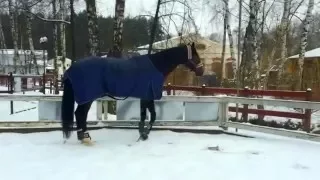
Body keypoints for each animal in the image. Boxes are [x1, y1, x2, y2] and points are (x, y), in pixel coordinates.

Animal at [61, 42, 204, 145]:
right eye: (196, 56)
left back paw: (83, 137)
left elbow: (148, 115)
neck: (156, 66)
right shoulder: (147, 96)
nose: (202, 71)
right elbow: (149, 115)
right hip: (87, 97)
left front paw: (143, 133)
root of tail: (71, 68)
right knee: (80, 114)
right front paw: (144, 134)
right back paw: (85, 137)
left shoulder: (146, 96)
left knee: (80, 114)